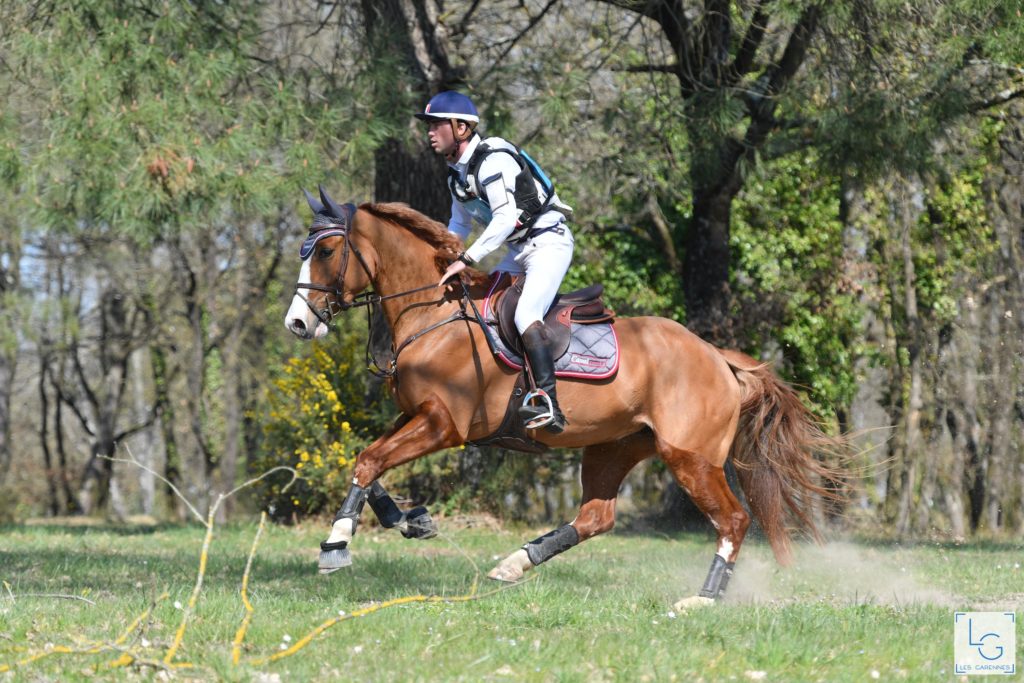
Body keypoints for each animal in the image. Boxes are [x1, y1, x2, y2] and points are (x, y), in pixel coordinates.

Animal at [284, 187, 843, 610]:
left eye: (327, 252)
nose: (297, 323)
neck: (431, 313)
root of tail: (718, 358)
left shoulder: (445, 424)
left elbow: (369, 460)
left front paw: (335, 545)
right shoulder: (414, 413)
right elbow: (367, 460)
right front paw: (408, 520)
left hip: (691, 457)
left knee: (733, 520)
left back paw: (703, 599)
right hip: (613, 447)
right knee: (597, 517)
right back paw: (514, 564)